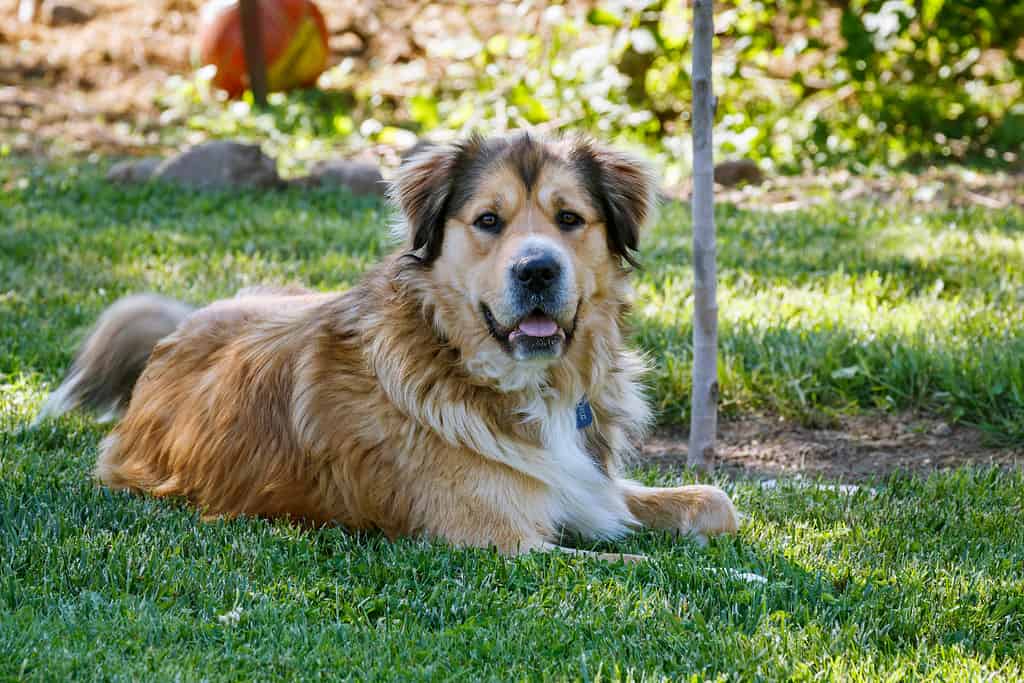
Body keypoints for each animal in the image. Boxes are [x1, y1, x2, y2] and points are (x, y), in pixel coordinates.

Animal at [37, 135, 737, 561]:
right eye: (488, 221)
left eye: (570, 219)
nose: (537, 270)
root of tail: (174, 336)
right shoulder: (501, 543)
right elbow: (654, 566)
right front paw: (734, 573)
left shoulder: (591, 489)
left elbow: (717, 503)